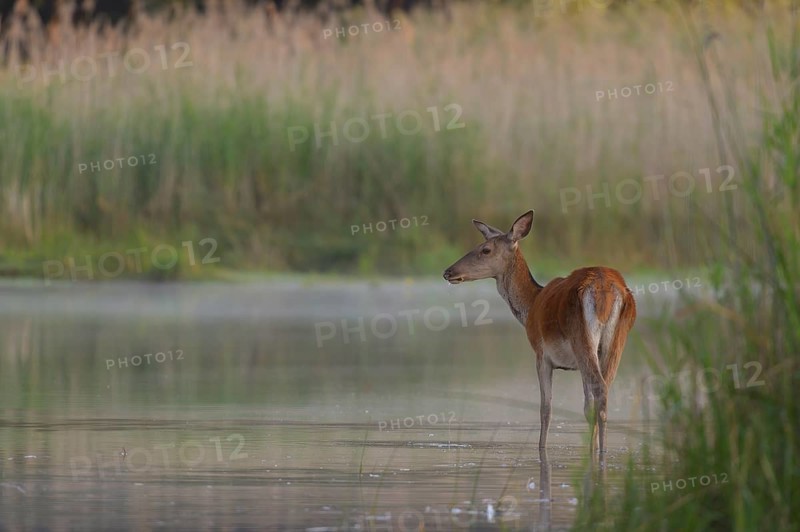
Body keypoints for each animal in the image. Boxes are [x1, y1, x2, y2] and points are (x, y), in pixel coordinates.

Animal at [442, 210, 636, 454]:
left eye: (485, 249)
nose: (448, 271)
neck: (530, 305)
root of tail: (606, 290)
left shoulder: (541, 354)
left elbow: (546, 408)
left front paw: (541, 448)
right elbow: (585, 405)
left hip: (581, 338)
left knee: (599, 389)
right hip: (616, 341)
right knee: (603, 391)